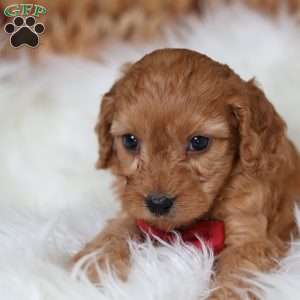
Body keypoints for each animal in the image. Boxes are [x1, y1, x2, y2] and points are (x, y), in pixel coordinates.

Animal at [72, 48, 300, 298]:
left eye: (199, 142)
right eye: (130, 141)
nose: (158, 203)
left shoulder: (249, 237)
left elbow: (236, 279)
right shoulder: (133, 210)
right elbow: (114, 232)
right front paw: (91, 267)